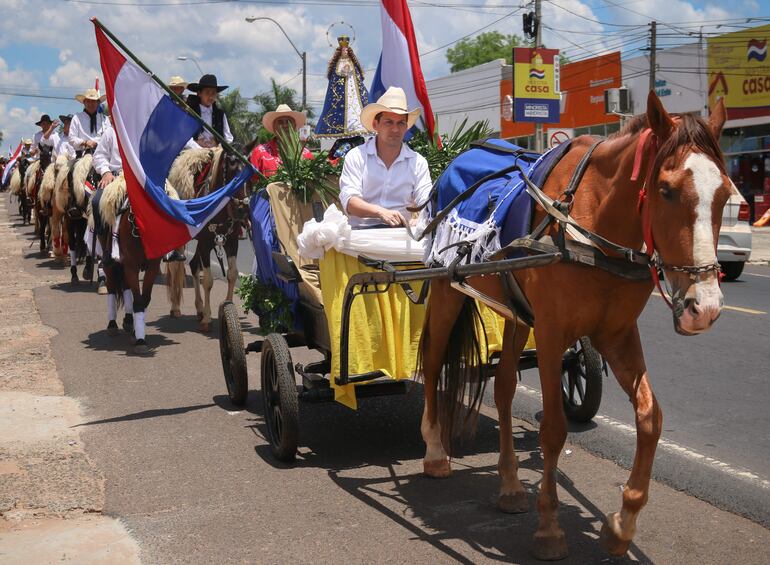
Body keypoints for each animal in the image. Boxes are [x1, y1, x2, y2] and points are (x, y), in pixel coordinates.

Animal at [416, 90, 728, 556]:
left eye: (727, 193)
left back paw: (510, 485)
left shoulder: (616, 335)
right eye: (667, 190)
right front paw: (549, 527)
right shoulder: (551, 333)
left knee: (504, 388)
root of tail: (454, 162)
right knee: (434, 361)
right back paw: (435, 452)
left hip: (515, 312)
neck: (591, 225)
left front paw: (622, 523)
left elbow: (650, 418)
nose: (703, 307)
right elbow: (553, 429)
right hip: (447, 291)